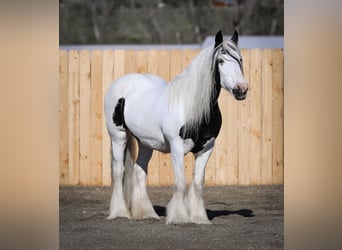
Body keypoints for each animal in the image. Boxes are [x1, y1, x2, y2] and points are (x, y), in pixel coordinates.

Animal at [104, 29, 248, 225]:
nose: (242, 89)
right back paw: (120, 212)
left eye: (240, 59)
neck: (192, 107)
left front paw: (199, 217)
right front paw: (179, 217)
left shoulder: (207, 148)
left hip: (145, 143)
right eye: (221, 61)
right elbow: (180, 182)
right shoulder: (177, 147)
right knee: (119, 172)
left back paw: (146, 213)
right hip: (118, 137)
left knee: (139, 172)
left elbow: (198, 183)